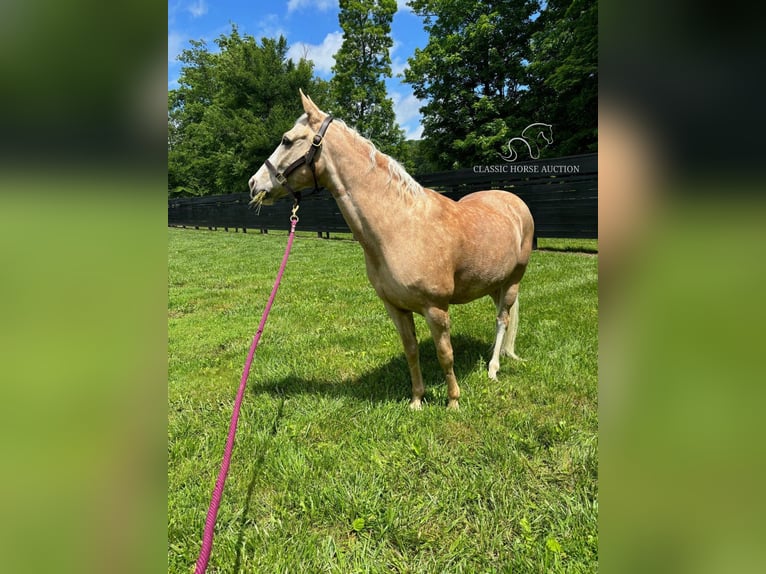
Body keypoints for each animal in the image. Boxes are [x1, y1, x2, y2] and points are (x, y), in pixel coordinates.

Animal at [250, 91, 536, 410]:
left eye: (287, 140)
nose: (254, 184)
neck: (399, 227)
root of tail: (513, 201)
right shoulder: (396, 307)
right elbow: (411, 350)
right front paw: (417, 400)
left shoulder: (436, 309)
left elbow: (445, 354)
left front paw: (453, 401)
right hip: (492, 283)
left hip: (513, 281)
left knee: (502, 320)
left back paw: (493, 368)